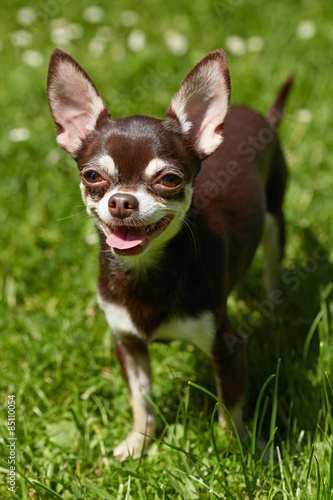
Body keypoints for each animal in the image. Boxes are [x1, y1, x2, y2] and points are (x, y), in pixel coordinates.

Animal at [47, 47, 290, 460]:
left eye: (170, 180)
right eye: (92, 176)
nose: (121, 201)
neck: (145, 272)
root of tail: (259, 115)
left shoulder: (227, 348)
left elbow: (230, 409)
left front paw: (238, 451)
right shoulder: (128, 345)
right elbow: (141, 400)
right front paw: (137, 444)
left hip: (275, 218)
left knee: (273, 265)